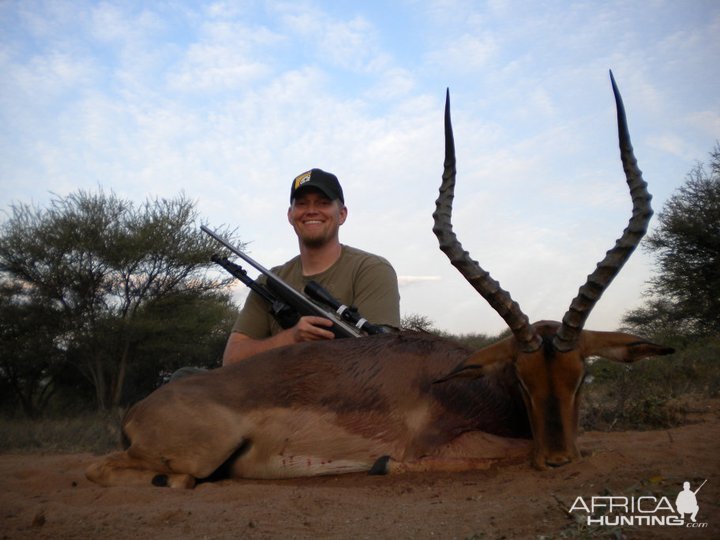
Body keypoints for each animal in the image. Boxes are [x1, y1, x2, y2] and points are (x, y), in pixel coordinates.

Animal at [86, 73, 676, 490]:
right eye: (523, 377)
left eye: (582, 375)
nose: (556, 460)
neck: (462, 383)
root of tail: (140, 408)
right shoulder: (448, 447)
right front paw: (383, 465)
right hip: (199, 452)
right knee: (114, 471)